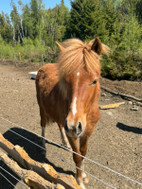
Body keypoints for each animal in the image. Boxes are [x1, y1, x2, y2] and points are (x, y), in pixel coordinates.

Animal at [35, 37, 108, 188]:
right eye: (65, 80)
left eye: (94, 81)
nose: (74, 126)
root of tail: (43, 68)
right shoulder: (73, 133)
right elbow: (77, 156)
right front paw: (79, 180)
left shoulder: (87, 131)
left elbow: (83, 153)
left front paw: (83, 175)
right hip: (42, 109)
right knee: (43, 124)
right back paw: (43, 145)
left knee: (60, 125)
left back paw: (64, 143)